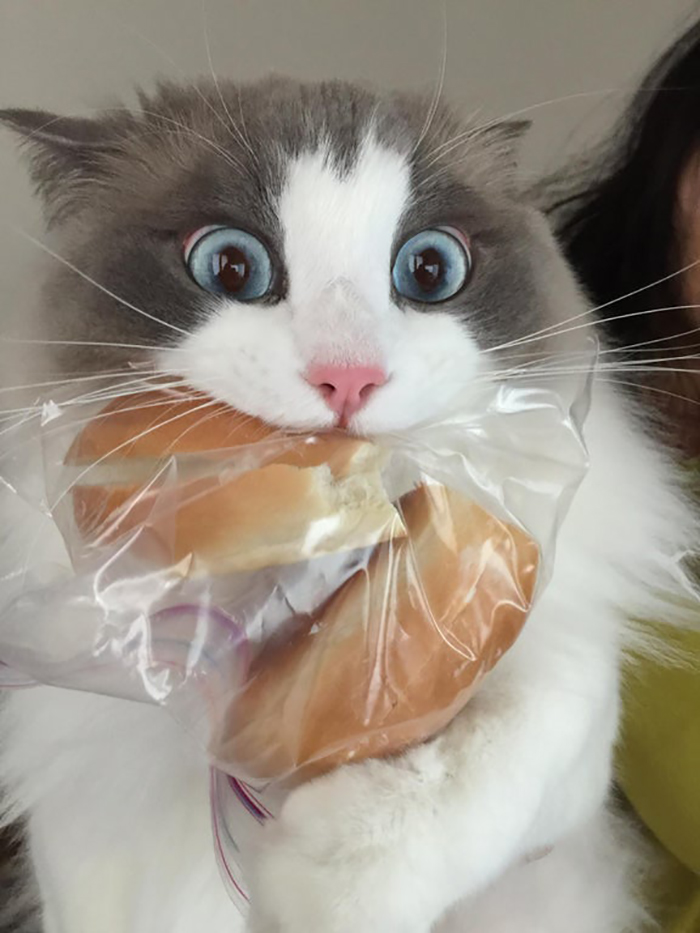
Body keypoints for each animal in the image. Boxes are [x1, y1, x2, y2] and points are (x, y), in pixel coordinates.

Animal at [0, 76, 692, 928]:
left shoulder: (564, 684)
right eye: (230, 266)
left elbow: (512, 745)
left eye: (429, 270)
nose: (349, 378)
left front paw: (325, 882)